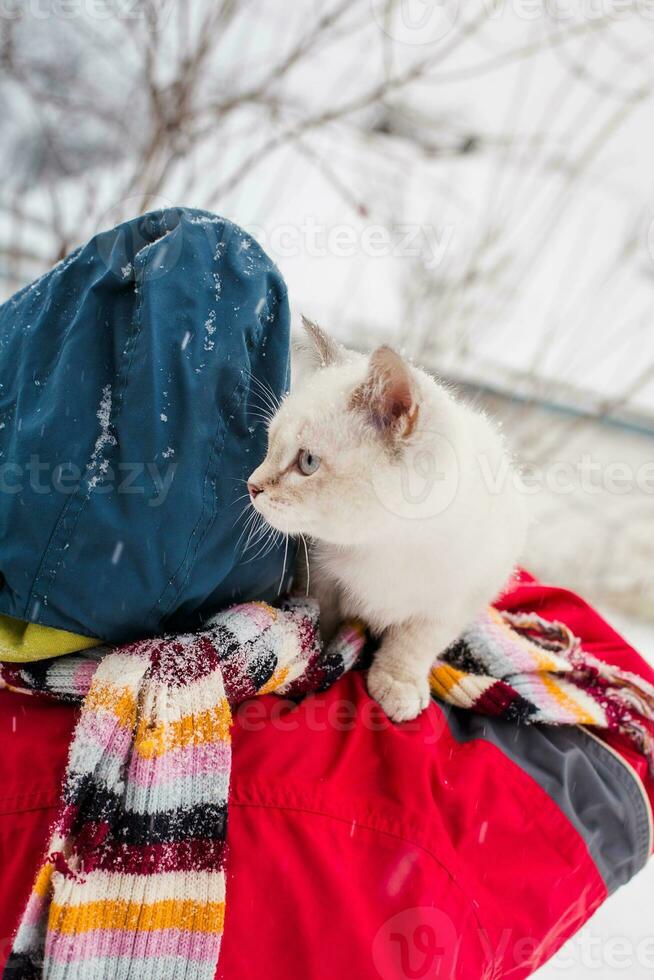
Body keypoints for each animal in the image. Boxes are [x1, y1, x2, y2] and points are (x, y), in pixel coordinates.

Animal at [249, 318, 532, 724]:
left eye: (307, 462)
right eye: (270, 445)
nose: (251, 485)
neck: (387, 544)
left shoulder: (455, 601)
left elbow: (414, 644)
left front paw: (398, 683)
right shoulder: (319, 576)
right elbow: (324, 617)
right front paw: (318, 661)